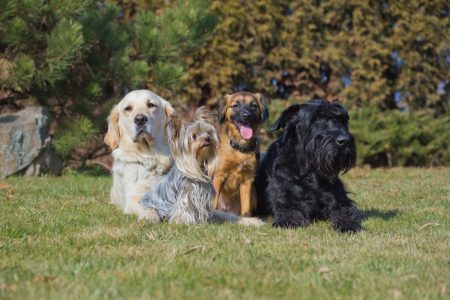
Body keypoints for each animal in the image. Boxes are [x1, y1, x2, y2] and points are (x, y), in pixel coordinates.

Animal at [104, 88, 175, 217]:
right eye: (128, 108)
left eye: (151, 105)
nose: (140, 119)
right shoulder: (133, 199)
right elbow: (148, 208)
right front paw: (151, 215)